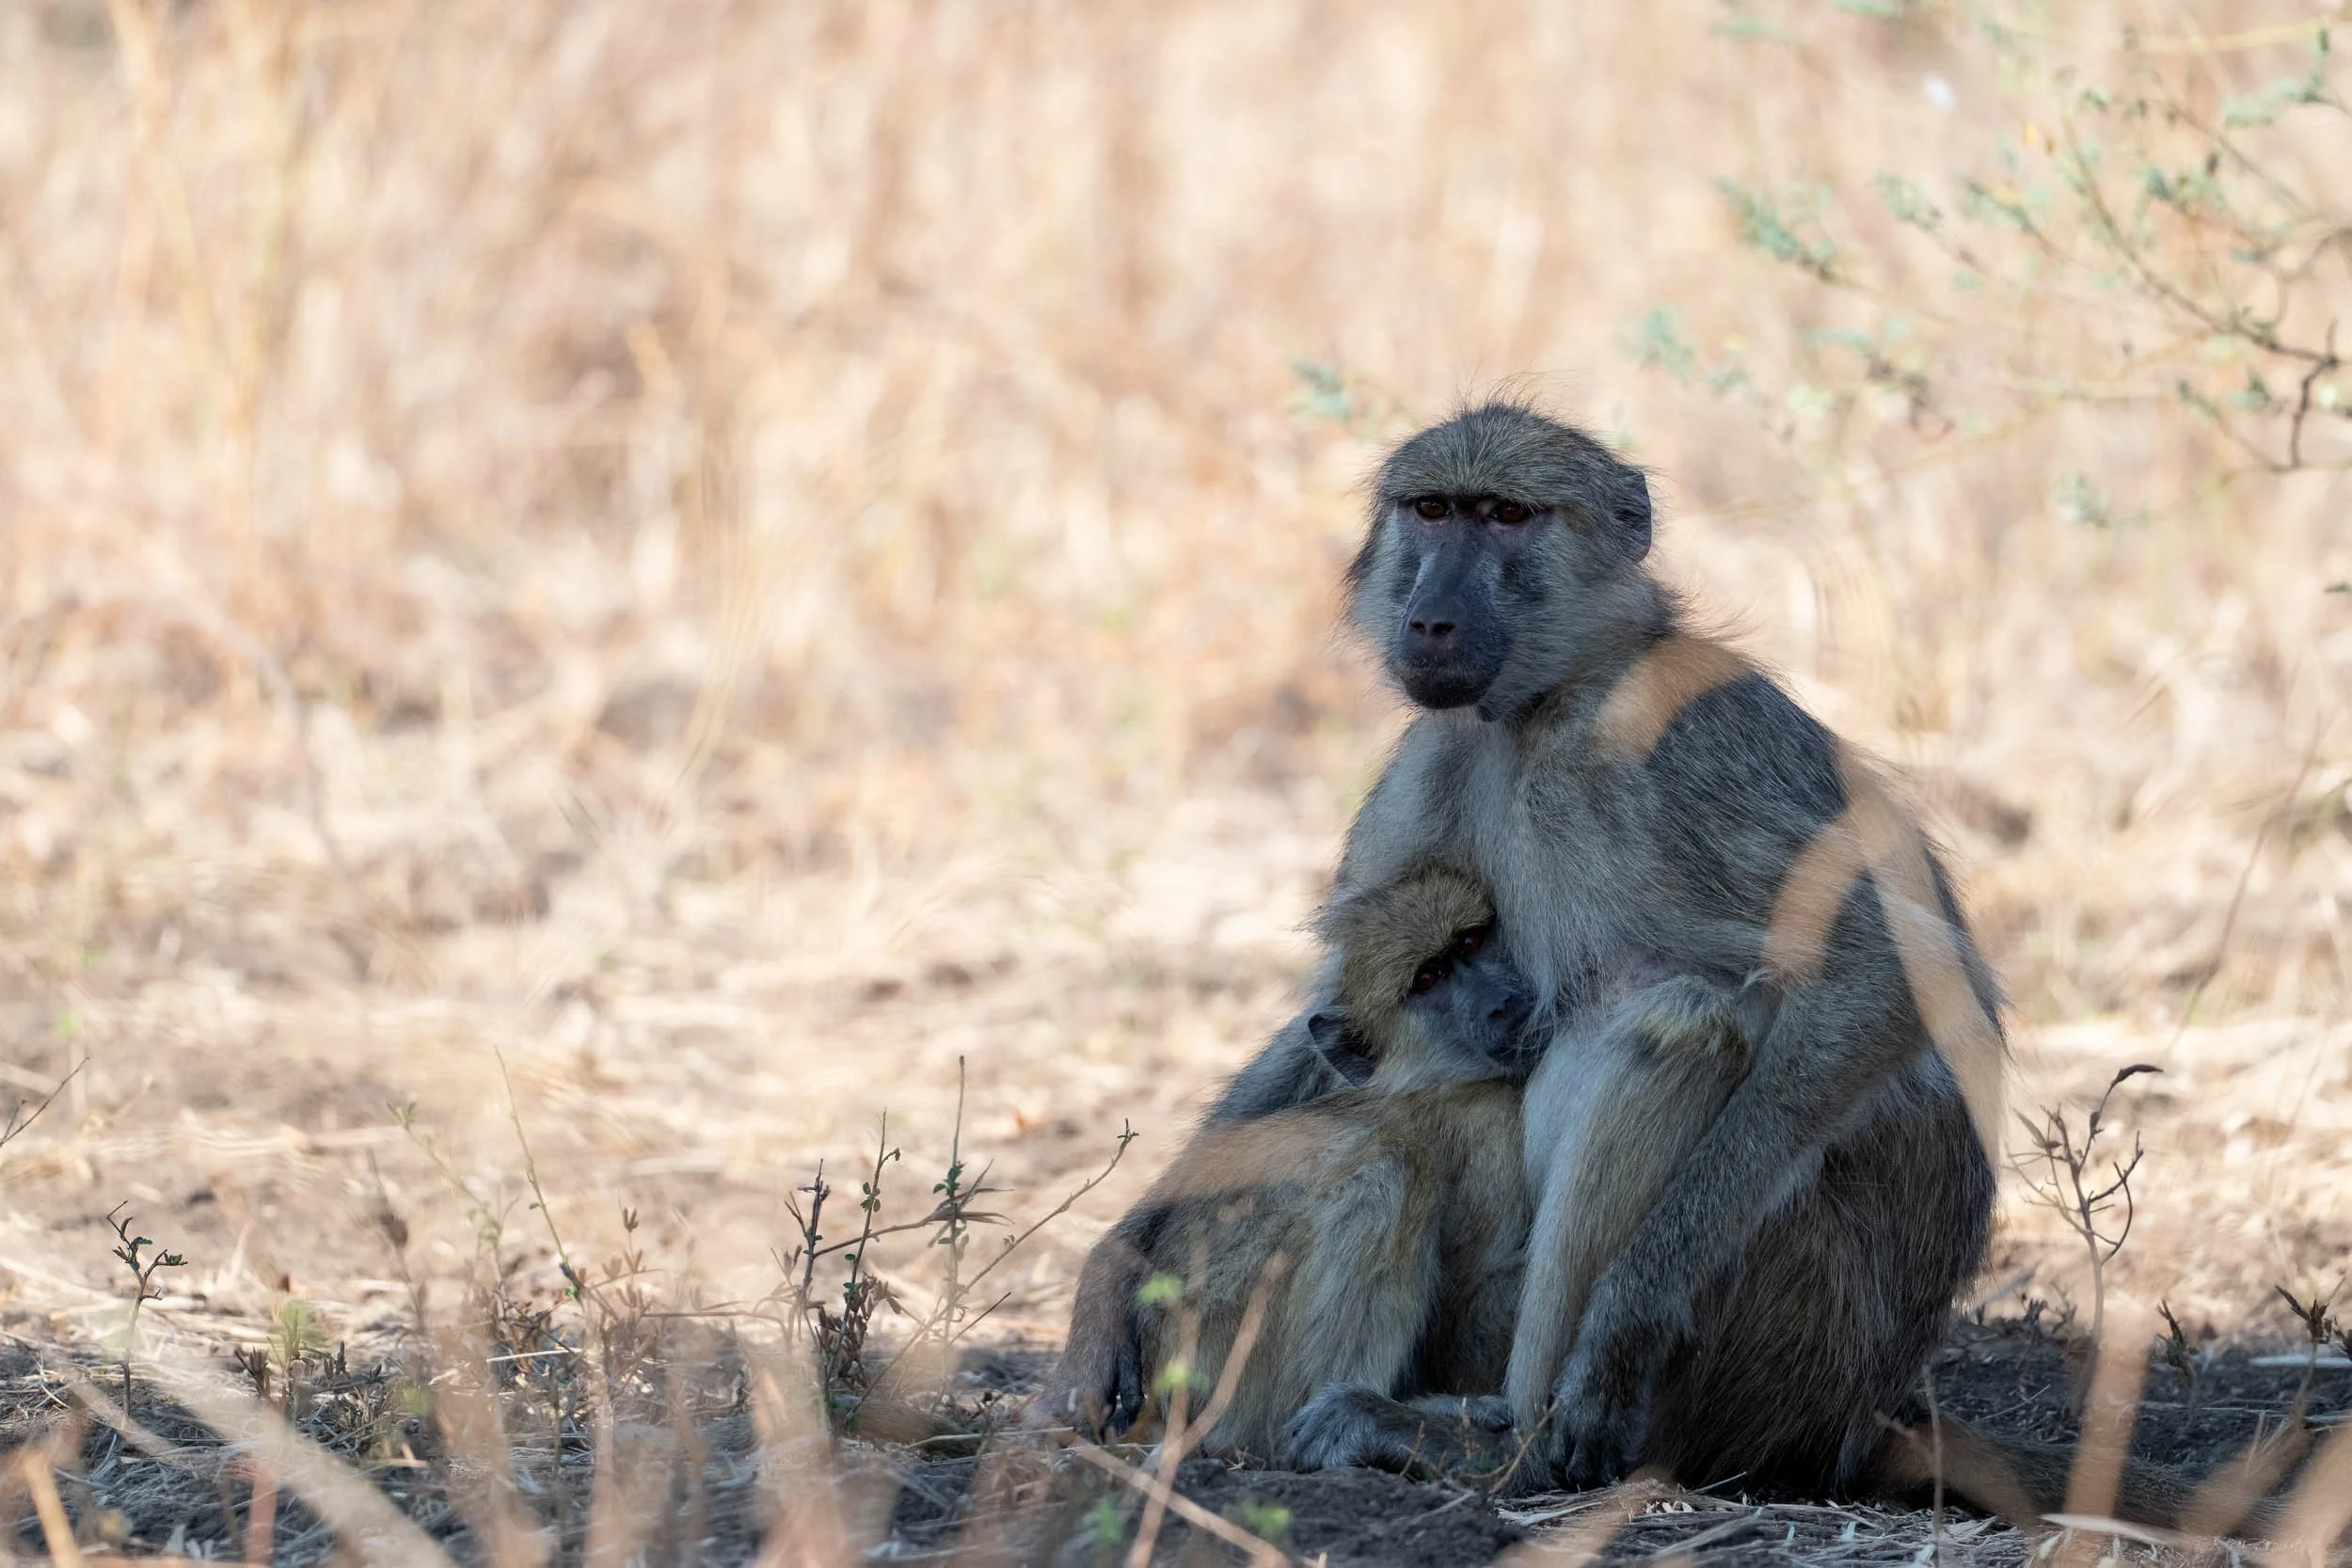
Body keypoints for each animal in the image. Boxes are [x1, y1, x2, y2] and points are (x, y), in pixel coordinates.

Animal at [1026, 860, 1541, 1459]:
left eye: (1471, 941)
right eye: (1429, 978)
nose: (1500, 1003)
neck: (1439, 1075)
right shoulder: (1495, 1134)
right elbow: (1468, 1309)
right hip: (1217, 1343)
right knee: (1388, 1171)